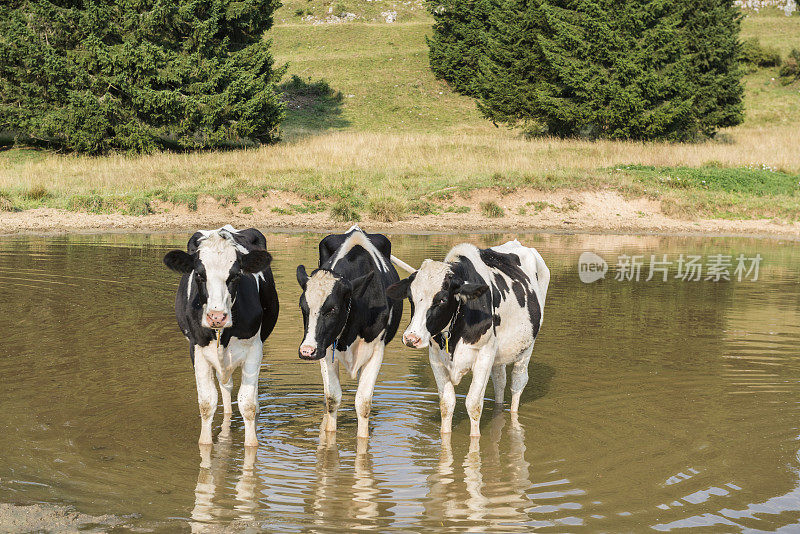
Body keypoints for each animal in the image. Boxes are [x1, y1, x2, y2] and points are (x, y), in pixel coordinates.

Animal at [162, 226, 278, 448]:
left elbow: (247, 404)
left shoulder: (254, 348)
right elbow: (207, 403)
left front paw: (252, 444)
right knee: (226, 386)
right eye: (199, 275)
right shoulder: (197, 349)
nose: (217, 317)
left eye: (236, 275)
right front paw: (206, 444)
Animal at [296, 226, 404, 440]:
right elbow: (332, 398)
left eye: (332, 309)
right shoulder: (325, 348)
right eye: (303, 307)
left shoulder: (377, 350)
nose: (307, 351)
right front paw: (328, 436)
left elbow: (363, 403)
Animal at [388, 241, 552, 438]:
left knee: (517, 382)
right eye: (411, 298)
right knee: (499, 381)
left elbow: (473, 404)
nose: (411, 338)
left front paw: (475, 440)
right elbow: (447, 403)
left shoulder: (484, 355)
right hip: (498, 354)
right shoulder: (436, 358)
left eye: (442, 300)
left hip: (526, 347)